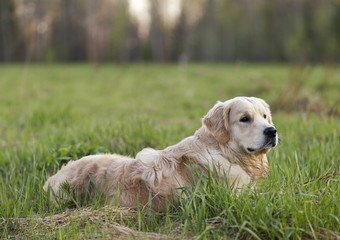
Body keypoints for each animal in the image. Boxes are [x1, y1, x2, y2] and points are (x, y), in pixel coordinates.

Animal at [44, 96, 278, 211]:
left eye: (265, 116)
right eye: (245, 119)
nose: (272, 131)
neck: (225, 151)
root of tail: (51, 179)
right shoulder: (237, 196)